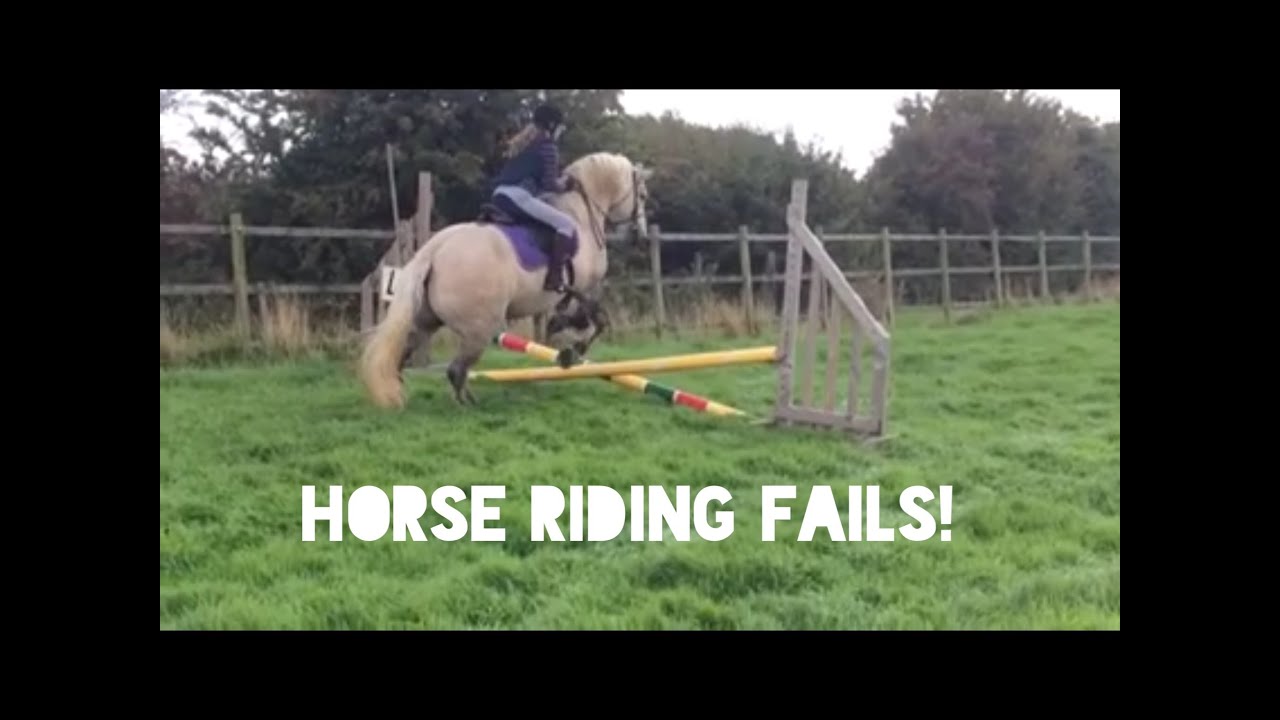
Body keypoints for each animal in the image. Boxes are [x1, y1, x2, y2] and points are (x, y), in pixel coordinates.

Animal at [357, 151, 652, 409]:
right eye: (643, 196)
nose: (640, 236)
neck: (580, 215)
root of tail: (434, 250)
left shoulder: (572, 291)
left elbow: (575, 315)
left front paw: (561, 332)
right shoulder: (584, 286)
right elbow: (596, 320)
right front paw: (572, 350)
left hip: (427, 321)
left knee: (406, 357)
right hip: (479, 328)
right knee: (456, 370)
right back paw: (467, 404)